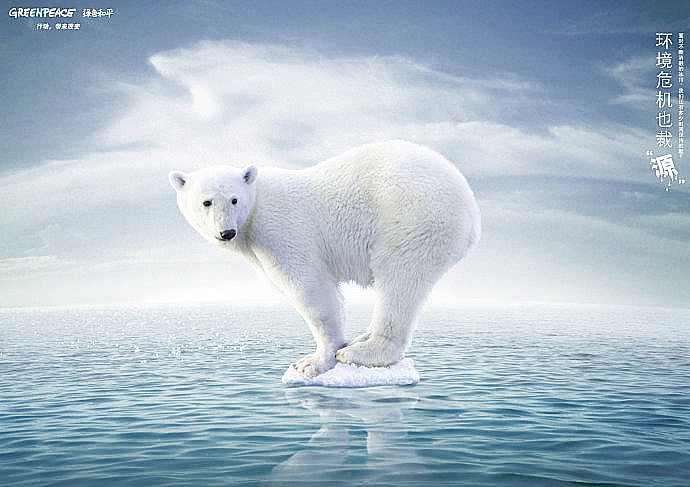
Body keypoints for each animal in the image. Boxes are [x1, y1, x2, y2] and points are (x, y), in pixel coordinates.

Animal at [169, 140, 480, 377]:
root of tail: (470, 206)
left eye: (234, 199)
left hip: (412, 219)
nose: (227, 232)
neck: (255, 209)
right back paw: (362, 337)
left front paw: (313, 362)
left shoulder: (283, 232)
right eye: (206, 202)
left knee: (399, 280)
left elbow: (309, 288)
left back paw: (361, 351)